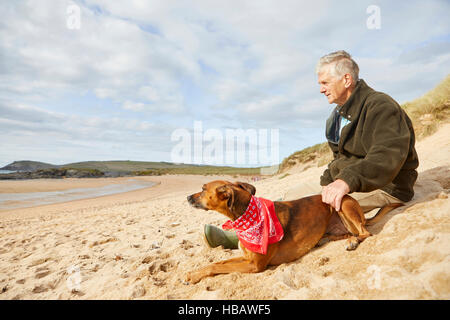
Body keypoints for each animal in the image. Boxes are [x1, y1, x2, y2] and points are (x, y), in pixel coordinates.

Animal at [185, 180, 402, 282]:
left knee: (364, 233)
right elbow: (217, 262)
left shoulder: (254, 265)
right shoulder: (246, 258)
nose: (187, 197)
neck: (246, 215)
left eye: (203, 189)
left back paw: (354, 241)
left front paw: (193, 276)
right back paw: (341, 240)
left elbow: (216, 267)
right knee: (350, 233)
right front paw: (194, 273)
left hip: (344, 203)